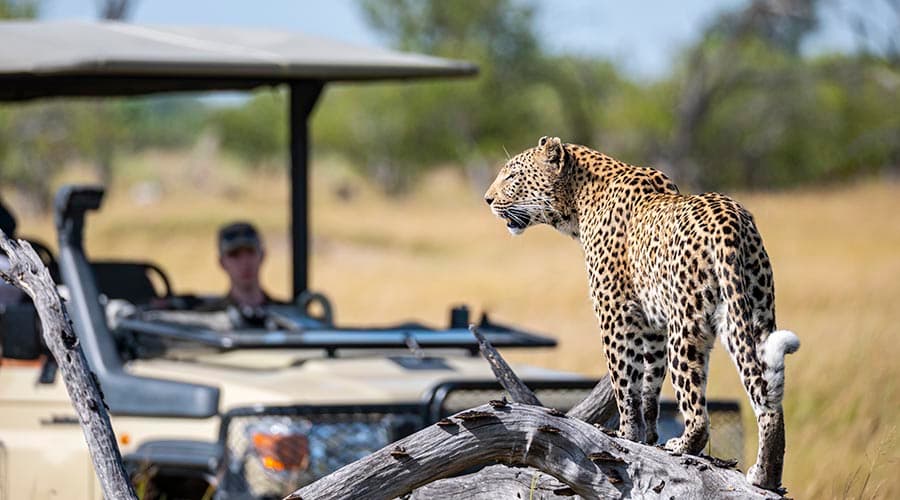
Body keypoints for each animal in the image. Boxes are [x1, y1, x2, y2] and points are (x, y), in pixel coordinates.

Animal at [484, 136, 800, 489]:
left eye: (512, 176)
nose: (488, 199)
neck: (578, 200)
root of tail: (729, 219)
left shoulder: (614, 312)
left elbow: (624, 378)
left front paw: (626, 434)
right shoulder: (651, 325)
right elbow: (648, 383)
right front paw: (647, 436)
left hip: (686, 327)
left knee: (698, 409)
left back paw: (683, 445)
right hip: (752, 314)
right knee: (767, 397)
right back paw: (764, 474)